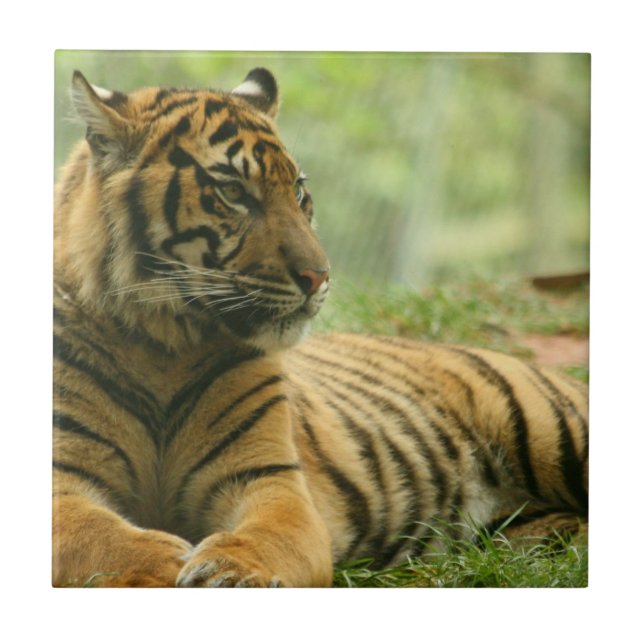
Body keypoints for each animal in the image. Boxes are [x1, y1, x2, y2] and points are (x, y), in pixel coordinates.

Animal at [53, 67, 589, 588]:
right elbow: (96, 538)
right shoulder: (62, 480)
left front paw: (229, 570)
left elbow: (268, 536)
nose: (319, 276)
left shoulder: (270, 478)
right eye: (233, 192)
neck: (162, 346)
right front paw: (167, 564)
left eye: (298, 191)